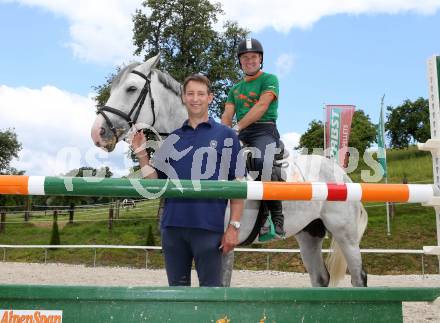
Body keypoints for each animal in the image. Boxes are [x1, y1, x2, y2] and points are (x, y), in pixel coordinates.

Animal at [92, 55, 368, 288]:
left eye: (131, 89)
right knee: (320, 279)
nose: (98, 133)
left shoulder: (223, 246)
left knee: (359, 277)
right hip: (309, 234)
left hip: (345, 235)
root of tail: (340, 172)